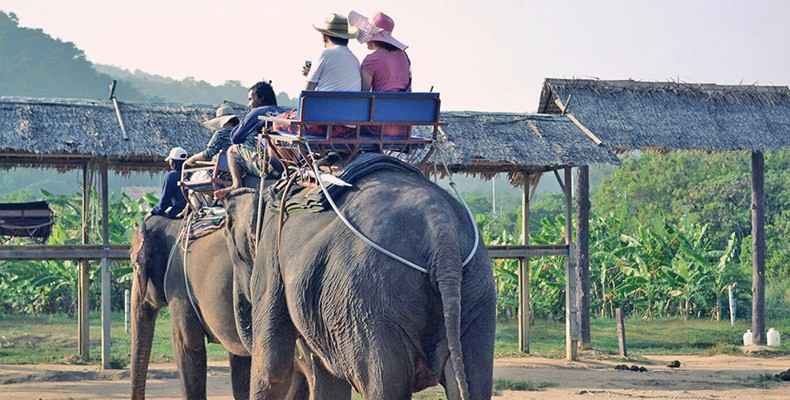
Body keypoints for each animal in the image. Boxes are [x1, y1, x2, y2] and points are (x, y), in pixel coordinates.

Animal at [223, 166, 498, 400]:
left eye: (230, 235)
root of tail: (441, 231)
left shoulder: (271, 253)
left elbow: (273, 367)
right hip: (478, 292)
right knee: (475, 379)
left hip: (368, 302)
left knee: (384, 385)